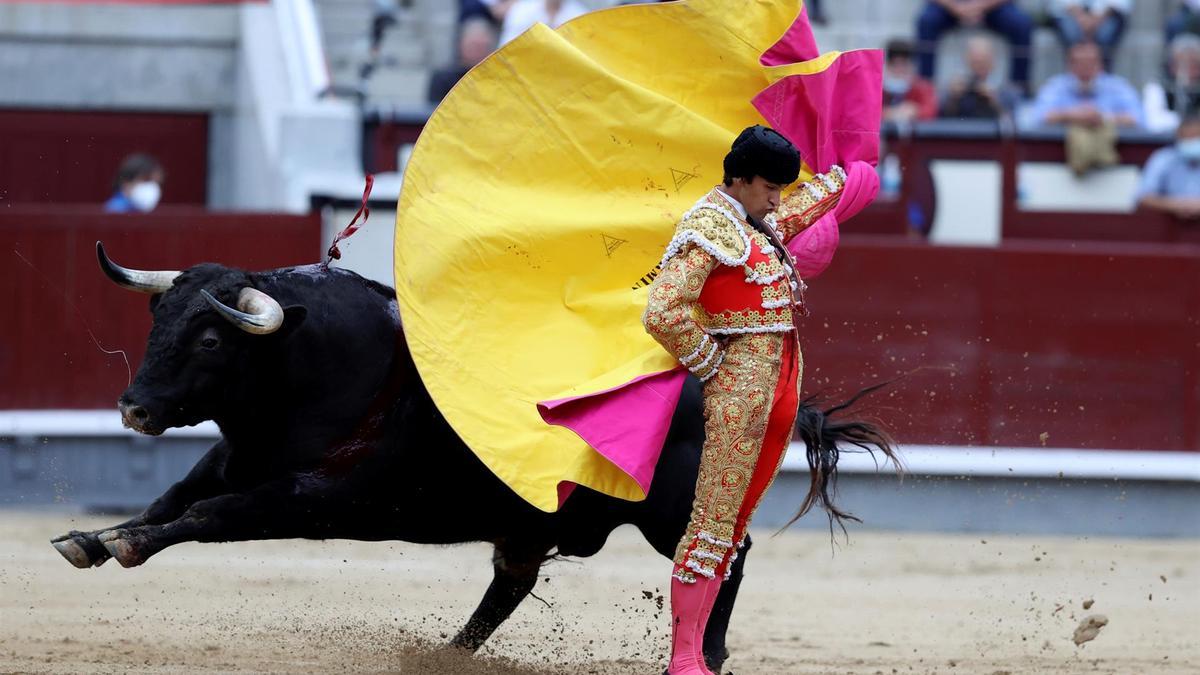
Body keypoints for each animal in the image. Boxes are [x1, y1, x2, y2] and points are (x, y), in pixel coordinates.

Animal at [54, 242, 902, 667]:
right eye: (157, 319)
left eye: (207, 339)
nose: (133, 407)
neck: (311, 367)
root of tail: (713, 372)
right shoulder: (235, 458)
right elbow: (174, 499)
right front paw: (90, 538)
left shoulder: (313, 496)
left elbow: (210, 515)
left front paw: (123, 543)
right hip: (533, 521)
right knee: (510, 583)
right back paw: (449, 654)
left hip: (674, 507)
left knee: (721, 555)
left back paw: (710, 652)